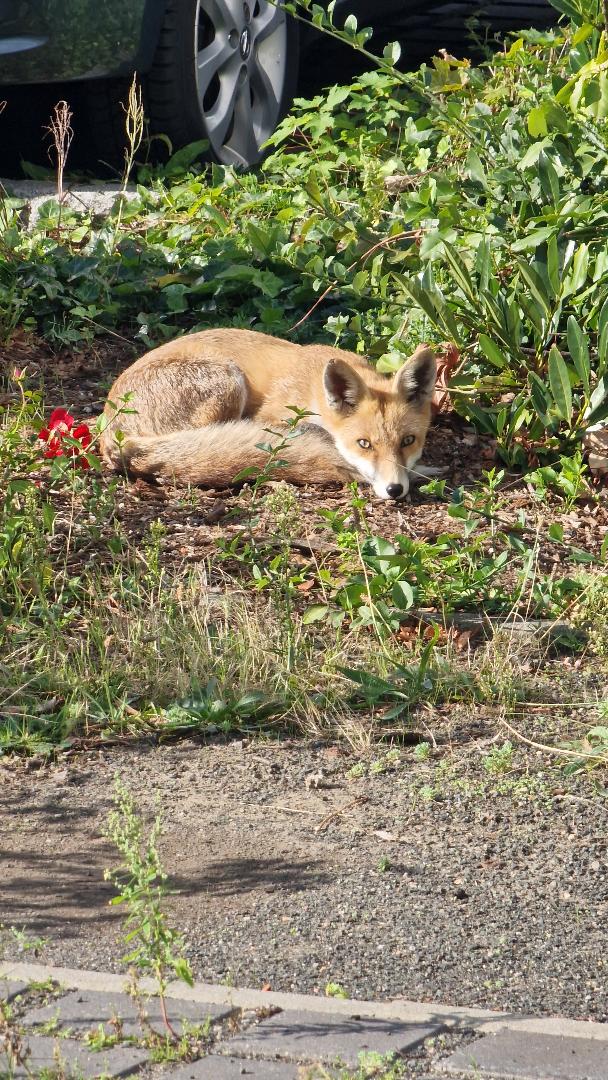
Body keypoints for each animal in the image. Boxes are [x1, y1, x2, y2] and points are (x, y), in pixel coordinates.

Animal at [100, 328, 437, 501]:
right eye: (364, 444)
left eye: (408, 441)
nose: (395, 490)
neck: (314, 393)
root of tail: (111, 431)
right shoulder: (271, 419)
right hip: (229, 380)